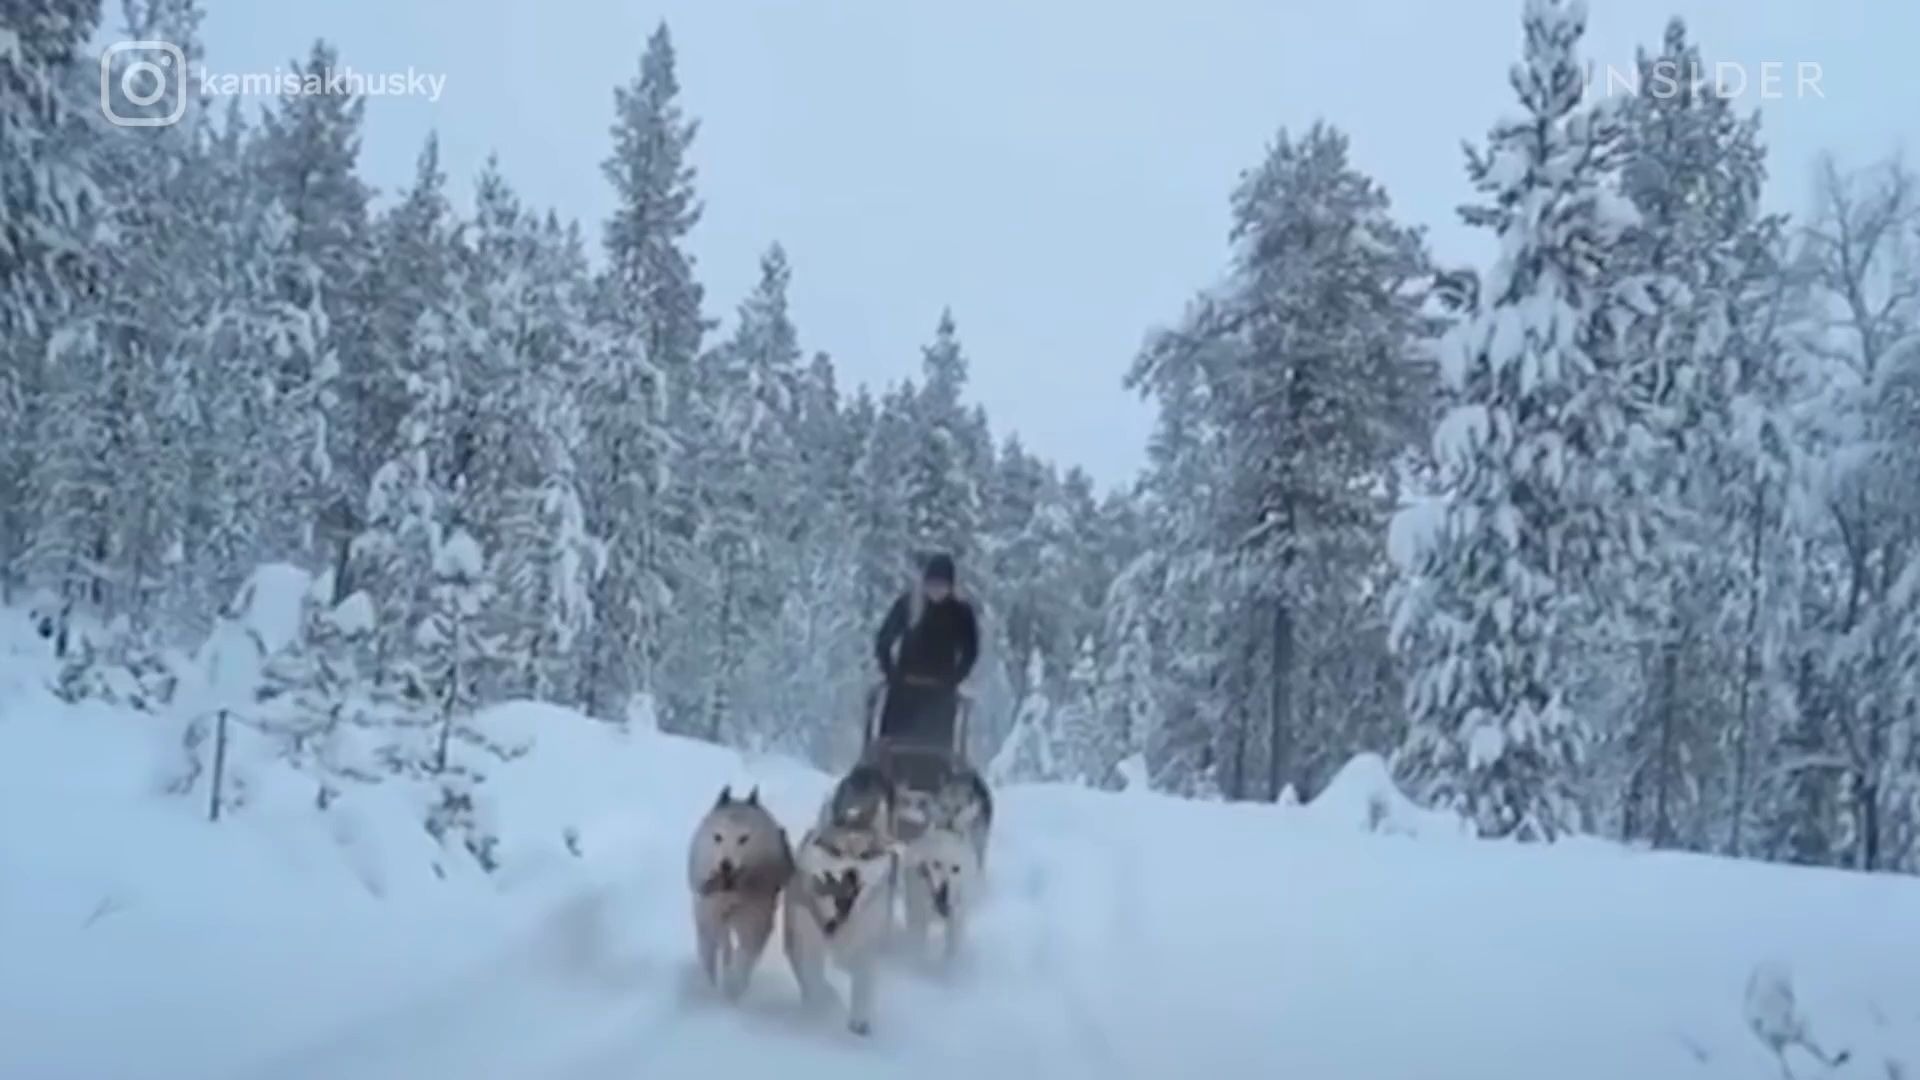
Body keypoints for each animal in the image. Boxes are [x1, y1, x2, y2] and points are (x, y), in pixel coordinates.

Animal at [687, 780, 791, 999]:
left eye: (743, 839)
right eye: (717, 837)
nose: (725, 865)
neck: (731, 892)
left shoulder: (755, 918)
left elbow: (745, 955)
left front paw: (734, 985)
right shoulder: (710, 915)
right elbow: (715, 949)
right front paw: (714, 986)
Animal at [779, 822, 898, 1037]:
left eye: (865, 855)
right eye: (836, 851)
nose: (851, 873)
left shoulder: (866, 939)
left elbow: (863, 981)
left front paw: (859, 1019)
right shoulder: (805, 936)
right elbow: (813, 976)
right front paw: (823, 1006)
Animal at [902, 818, 983, 960]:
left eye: (956, 869)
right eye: (936, 864)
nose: (943, 893)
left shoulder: (955, 919)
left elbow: (952, 945)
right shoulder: (917, 918)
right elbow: (917, 945)